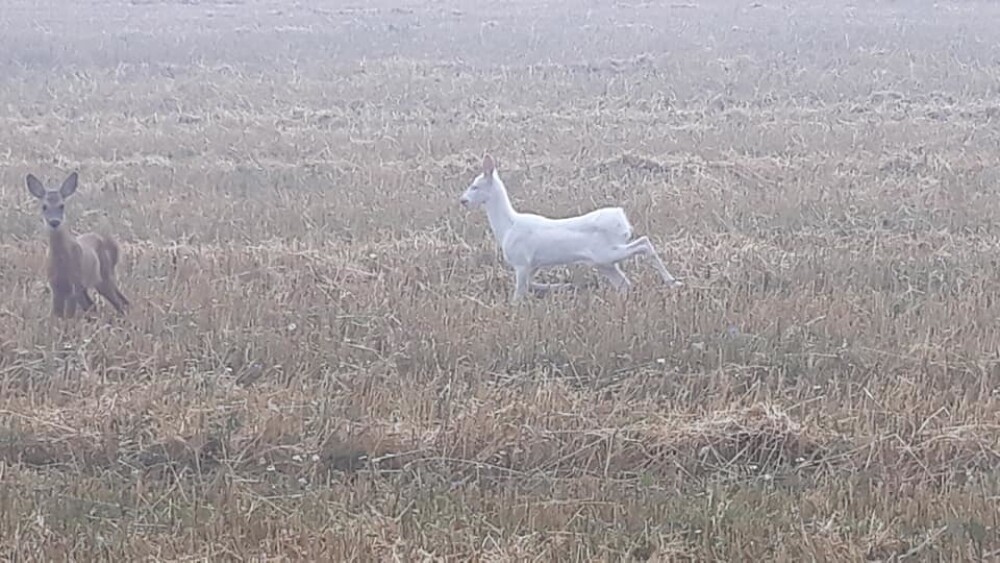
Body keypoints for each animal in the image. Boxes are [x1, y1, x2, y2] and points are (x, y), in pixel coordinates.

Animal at [26, 172, 130, 318]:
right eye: (44, 206)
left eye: (62, 205)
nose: (54, 222)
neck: (61, 261)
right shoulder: (55, 287)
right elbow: (56, 316)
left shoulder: (74, 284)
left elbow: (69, 316)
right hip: (88, 286)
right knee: (94, 305)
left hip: (104, 276)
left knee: (119, 302)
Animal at [458, 153, 680, 304]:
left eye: (475, 186)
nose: (463, 200)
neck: (507, 227)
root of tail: (622, 222)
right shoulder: (532, 265)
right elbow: (531, 285)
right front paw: (561, 286)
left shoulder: (521, 262)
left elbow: (519, 294)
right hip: (604, 263)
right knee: (625, 283)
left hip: (605, 253)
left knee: (644, 243)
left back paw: (672, 280)